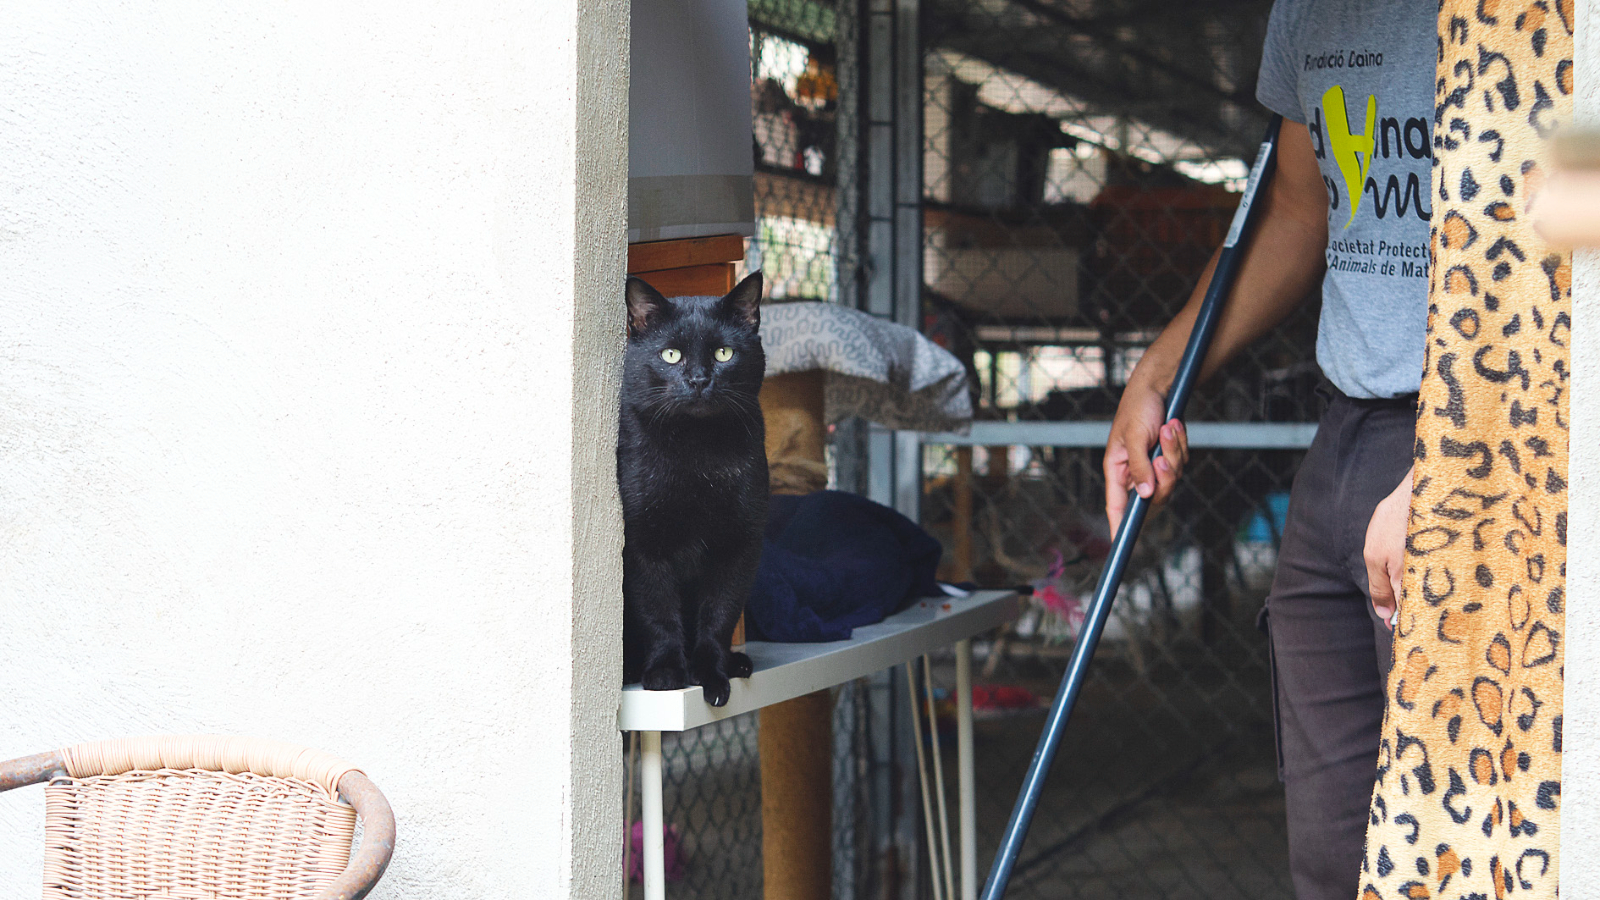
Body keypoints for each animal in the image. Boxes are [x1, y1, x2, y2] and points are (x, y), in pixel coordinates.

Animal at [619, 271, 768, 707]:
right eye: (671, 355)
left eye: (723, 353)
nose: (699, 380)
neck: (696, 456)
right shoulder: (643, 544)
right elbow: (658, 613)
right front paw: (667, 673)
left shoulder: (740, 543)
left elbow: (719, 615)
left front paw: (712, 674)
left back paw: (738, 663)